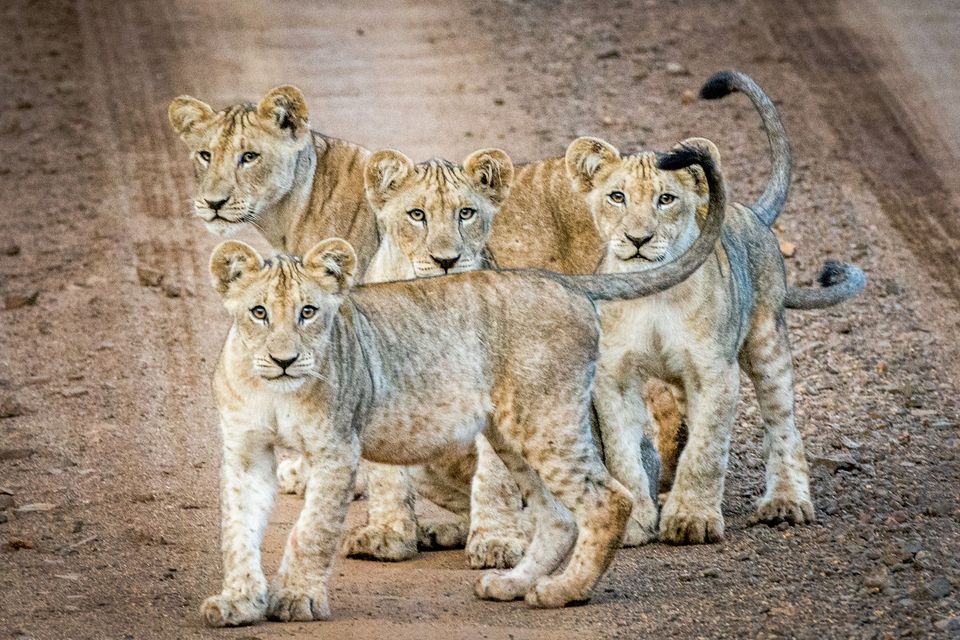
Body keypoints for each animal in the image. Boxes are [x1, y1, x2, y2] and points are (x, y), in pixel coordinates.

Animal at [200, 145, 726, 627]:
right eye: (258, 313)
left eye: (309, 312)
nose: (284, 360)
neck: (273, 389)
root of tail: (564, 281)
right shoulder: (245, 451)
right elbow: (237, 531)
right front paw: (237, 603)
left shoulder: (336, 449)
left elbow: (312, 529)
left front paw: (296, 599)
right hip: (511, 432)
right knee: (557, 516)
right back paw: (514, 583)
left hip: (546, 422)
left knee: (607, 502)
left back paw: (564, 590)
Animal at [563, 71, 866, 545]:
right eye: (616, 197)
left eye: (666, 200)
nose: (638, 239)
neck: (654, 297)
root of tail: (749, 211)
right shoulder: (615, 377)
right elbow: (623, 454)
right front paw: (634, 522)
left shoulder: (714, 372)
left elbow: (706, 450)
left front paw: (692, 520)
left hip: (766, 344)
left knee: (783, 426)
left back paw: (786, 502)